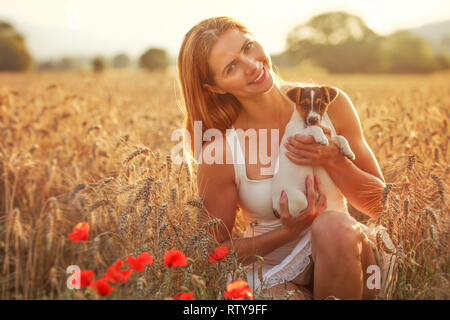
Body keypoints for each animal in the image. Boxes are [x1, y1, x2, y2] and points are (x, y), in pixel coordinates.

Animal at [270, 85, 356, 218]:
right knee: (296, 211)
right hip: (297, 198)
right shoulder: (296, 135)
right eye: (304, 105)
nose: (313, 119)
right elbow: (315, 129)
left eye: (321, 104)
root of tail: (274, 205)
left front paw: (348, 151)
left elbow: (340, 137)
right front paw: (321, 137)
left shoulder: (330, 135)